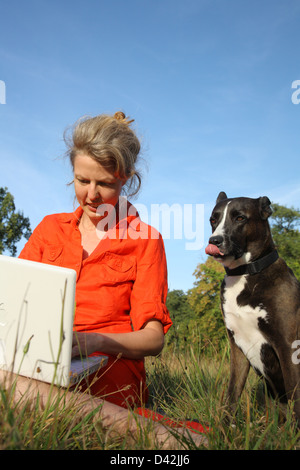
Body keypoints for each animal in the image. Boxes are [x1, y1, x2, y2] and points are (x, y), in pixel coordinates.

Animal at [205, 191, 300, 426]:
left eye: (240, 218)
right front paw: (226, 429)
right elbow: (232, 394)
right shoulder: (237, 347)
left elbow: (295, 395)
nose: (214, 241)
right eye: (213, 219)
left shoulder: (287, 347)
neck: (246, 272)